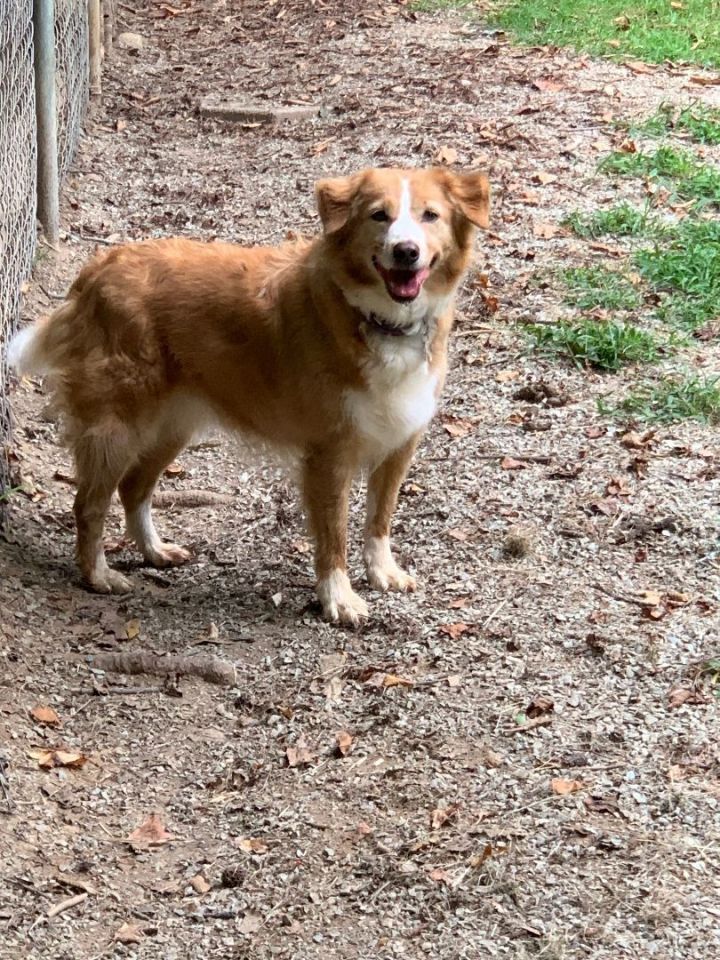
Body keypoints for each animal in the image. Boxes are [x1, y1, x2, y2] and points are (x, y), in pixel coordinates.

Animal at [9, 169, 490, 628]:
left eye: (430, 216)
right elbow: (334, 532)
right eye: (379, 216)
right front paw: (338, 598)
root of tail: (98, 269)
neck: (378, 319)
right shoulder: (330, 453)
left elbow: (380, 517)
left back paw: (154, 551)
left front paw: (382, 572)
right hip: (118, 427)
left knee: (133, 488)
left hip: (172, 425)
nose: (406, 251)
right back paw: (98, 575)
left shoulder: (400, 442)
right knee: (89, 504)